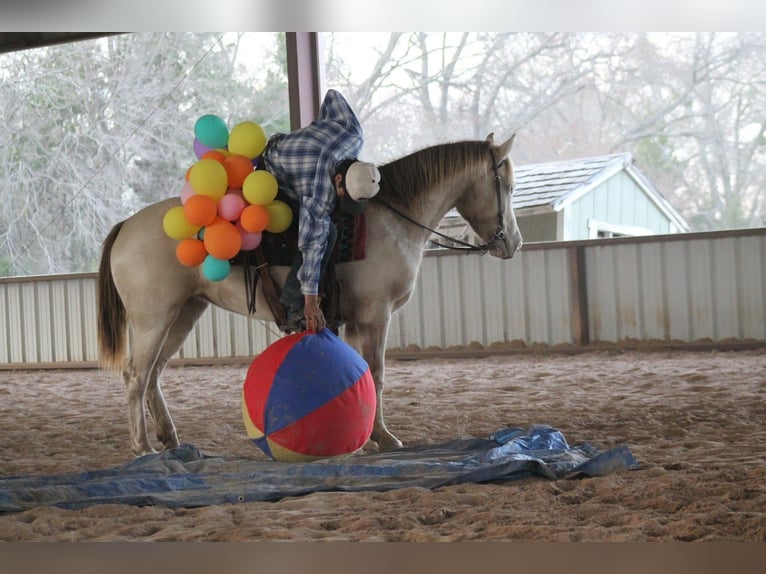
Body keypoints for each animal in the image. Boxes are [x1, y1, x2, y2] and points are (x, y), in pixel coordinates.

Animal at [97, 133, 523, 457]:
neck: (394, 219)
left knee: (154, 375)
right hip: (153, 318)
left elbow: (364, 373)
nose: (514, 243)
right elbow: (378, 374)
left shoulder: (356, 320)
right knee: (136, 375)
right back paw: (142, 448)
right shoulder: (376, 314)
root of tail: (126, 225)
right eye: (508, 186)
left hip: (185, 312)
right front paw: (384, 438)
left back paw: (171, 441)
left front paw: (368, 438)